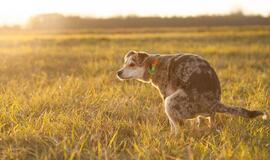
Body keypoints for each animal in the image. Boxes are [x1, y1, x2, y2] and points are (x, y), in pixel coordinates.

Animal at [116, 50, 266, 134]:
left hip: (170, 102)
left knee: (178, 127)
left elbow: (173, 125)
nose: (118, 72)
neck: (154, 65)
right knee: (211, 122)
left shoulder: (166, 95)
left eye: (132, 64)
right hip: (207, 114)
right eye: (124, 63)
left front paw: (170, 135)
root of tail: (214, 102)